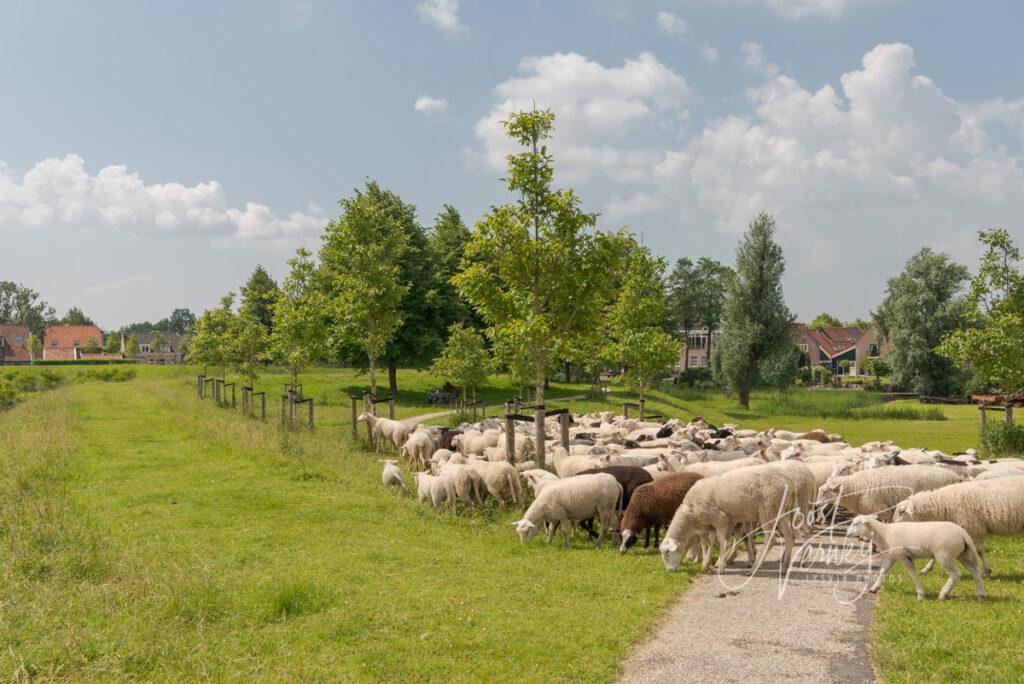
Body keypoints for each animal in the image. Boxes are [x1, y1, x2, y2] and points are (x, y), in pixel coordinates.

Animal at [843, 516, 987, 602]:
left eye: (856, 523)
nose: (847, 533)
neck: (884, 532)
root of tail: (963, 533)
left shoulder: (903, 555)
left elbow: (912, 574)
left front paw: (920, 594)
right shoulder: (892, 555)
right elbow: (883, 571)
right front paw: (874, 588)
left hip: (945, 554)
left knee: (956, 574)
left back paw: (943, 594)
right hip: (962, 554)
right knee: (975, 572)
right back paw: (981, 595)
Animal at [888, 475, 1024, 577]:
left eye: (902, 511)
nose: (892, 527)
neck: (945, 502)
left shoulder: (974, 528)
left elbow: (979, 551)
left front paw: (986, 571)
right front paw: (927, 568)